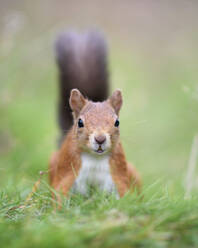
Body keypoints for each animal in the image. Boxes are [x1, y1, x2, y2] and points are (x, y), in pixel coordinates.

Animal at [50, 30, 142, 203]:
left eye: (117, 122)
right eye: (80, 122)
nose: (100, 139)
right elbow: (59, 193)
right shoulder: (67, 173)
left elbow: (124, 196)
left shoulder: (118, 175)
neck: (95, 158)